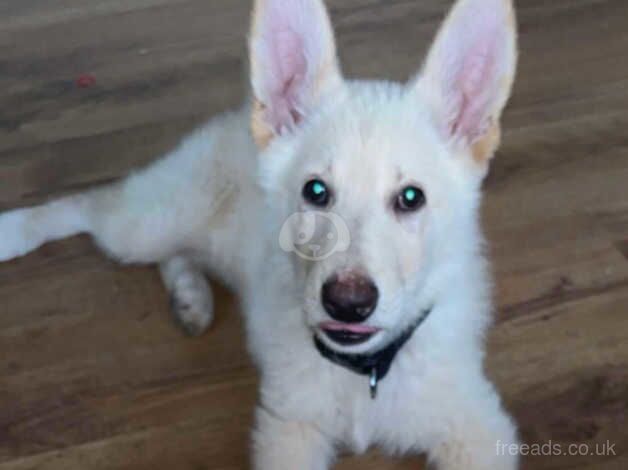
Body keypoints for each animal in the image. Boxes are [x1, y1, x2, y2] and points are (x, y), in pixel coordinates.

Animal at [0, 0, 520, 468]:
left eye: (411, 198)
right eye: (315, 191)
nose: (347, 304)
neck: (364, 373)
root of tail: (233, 119)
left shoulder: (478, 424)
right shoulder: (287, 428)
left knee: (176, 254)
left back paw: (191, 299)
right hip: (152, 221)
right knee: (92, 205)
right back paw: (14, 231)